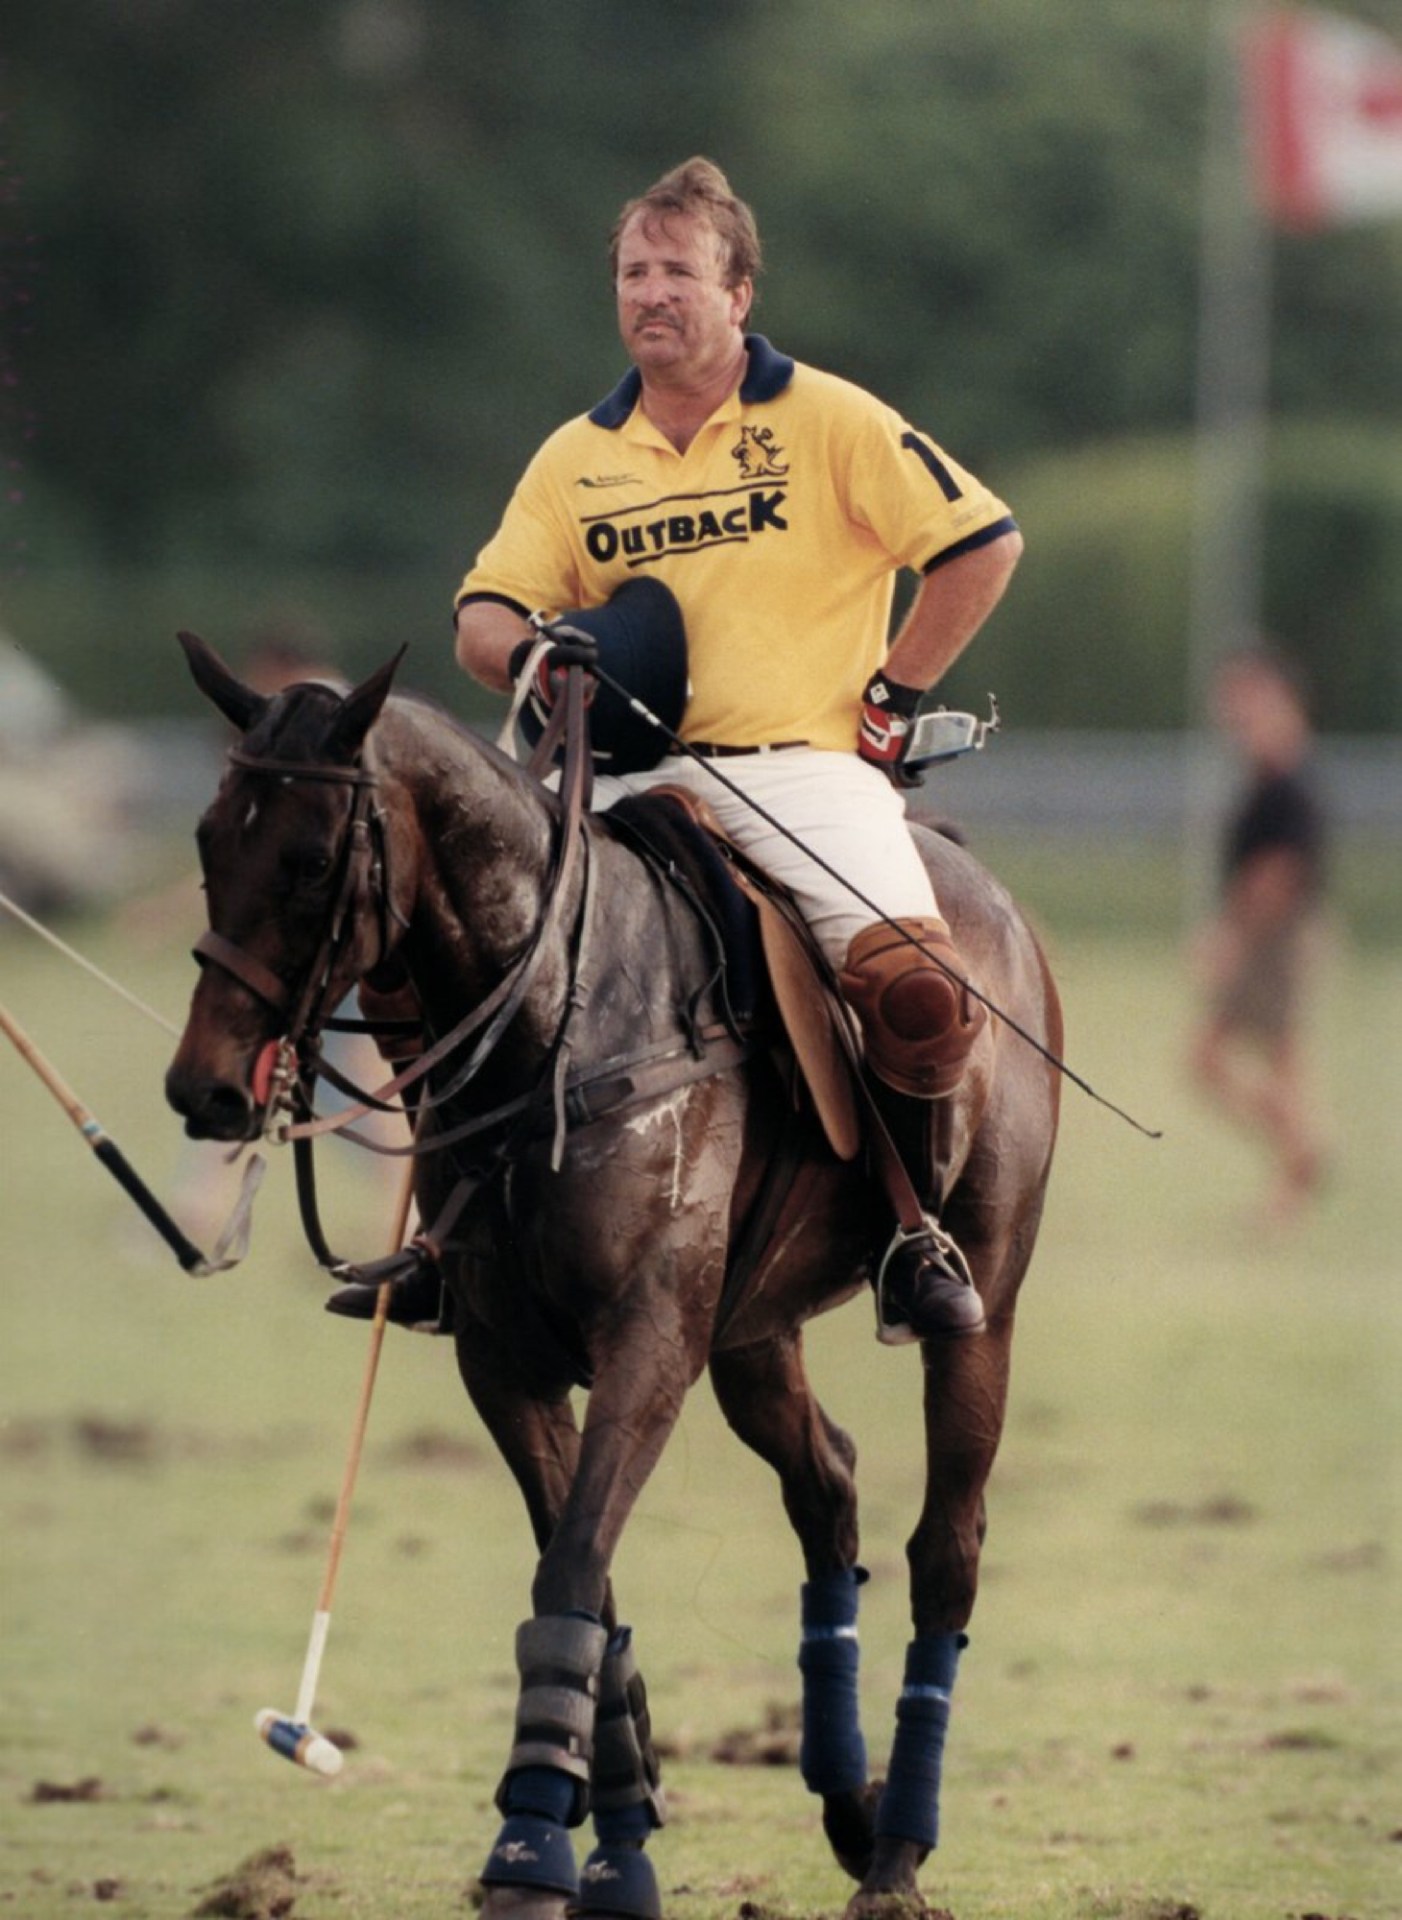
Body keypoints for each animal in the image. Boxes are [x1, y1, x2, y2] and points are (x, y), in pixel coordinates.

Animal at [165, 633, 1062, 1920]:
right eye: (205, 839)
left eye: (309, 858)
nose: (205, 1089)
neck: (554, 1023)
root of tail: (974, 878)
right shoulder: (507, 1358)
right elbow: (583, 1582)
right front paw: (614, 1841)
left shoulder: (646, 1340)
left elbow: (575, 1568)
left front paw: (532, 1851)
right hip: (751, 1327)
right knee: (827, 1483)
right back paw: (846, 1803)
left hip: (978, 1293)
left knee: (948, 1543)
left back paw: (895, 1853)